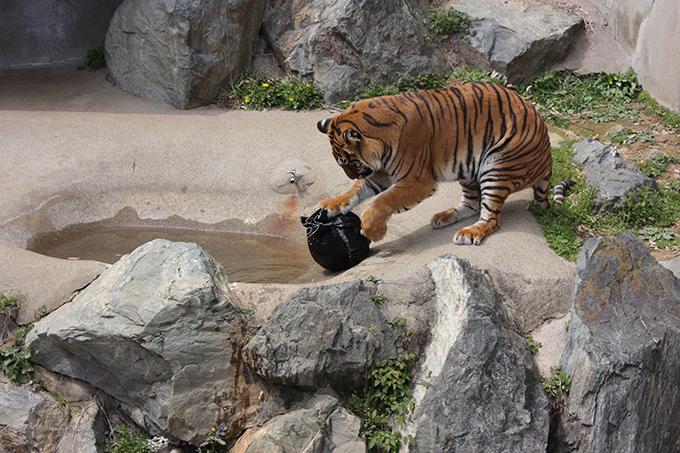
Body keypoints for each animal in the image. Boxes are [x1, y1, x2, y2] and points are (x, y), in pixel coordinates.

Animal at [314, 81, 552, 244]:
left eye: (346, 161)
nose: (352, 175)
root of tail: (548, 159)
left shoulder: (417, 180)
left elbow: (384, 200)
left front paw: (372, 230)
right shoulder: (383, 172)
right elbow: (356, 191)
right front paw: (330, 205)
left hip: (497, 167)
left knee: (491, 219)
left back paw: (469, 233)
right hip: (469, 168)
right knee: (473, 204)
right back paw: (444, 217)